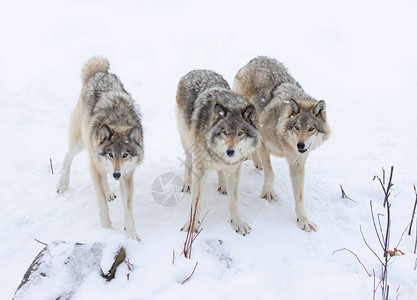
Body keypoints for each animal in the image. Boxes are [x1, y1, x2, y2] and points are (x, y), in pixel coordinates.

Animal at [56, 56, 143, 241]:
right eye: (110, 154)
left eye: (125, 155)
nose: (116, 174)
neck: (118, 120)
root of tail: (98, 72)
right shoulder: (94, 168)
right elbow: (102, 203)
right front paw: (107, 229)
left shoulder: (127, 176)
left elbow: (128, 209)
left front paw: (131, 235)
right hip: (81, 143)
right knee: (67, 156)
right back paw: (62, 185)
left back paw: (109, 192)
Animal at [176, 69, 260, 234]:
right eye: (225, 133)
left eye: (240, 133)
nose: (230, 152)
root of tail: (198, 70)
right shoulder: (200, 169)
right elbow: (196, 201)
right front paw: (191, 225)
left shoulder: (234, 169)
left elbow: (234, 200)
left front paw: (238, 223)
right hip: (187, 140)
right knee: (188, 160)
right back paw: (187, 183)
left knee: (220, 171)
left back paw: (222, 185)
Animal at [232, 56, 330, 232]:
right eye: (297, 127)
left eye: (311, 129)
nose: (301, 146)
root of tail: (256, 58)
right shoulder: (264, 144)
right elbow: (270, 172)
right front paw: (268, 193)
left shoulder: (298, 163)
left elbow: (299, 197)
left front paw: (303, 220)